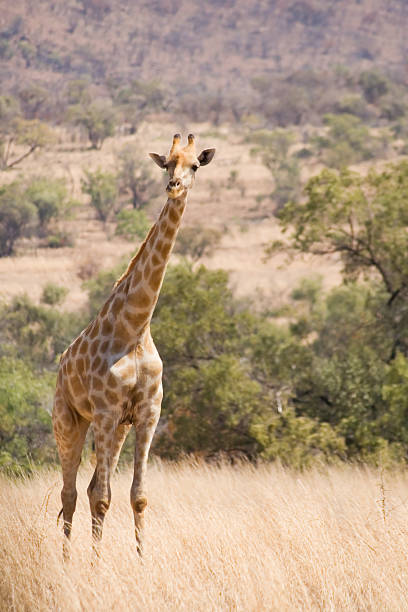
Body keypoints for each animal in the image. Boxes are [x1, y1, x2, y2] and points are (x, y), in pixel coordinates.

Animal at [52, 135, 215, 560]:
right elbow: (103, 498)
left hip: (115, 429)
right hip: (69, 421)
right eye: (167, 164)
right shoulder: (107, 411)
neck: (136, 327)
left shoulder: (146, 414)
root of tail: (61, 366)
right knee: (70, 492)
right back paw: (66, 560)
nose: (174, 186)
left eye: (195, 165)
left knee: (87, 488)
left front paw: (142, 562)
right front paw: (95, 566)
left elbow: (137, 496)